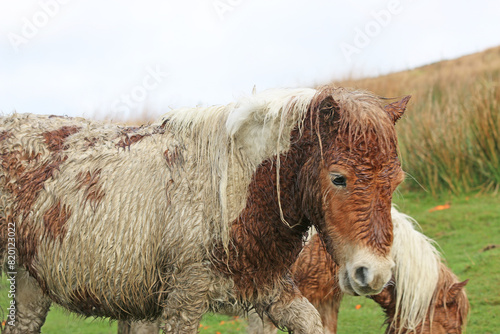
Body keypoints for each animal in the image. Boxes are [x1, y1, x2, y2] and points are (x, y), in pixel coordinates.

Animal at [0, 87, 408, 334]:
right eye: (339, 178)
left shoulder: (272, 289)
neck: (232, 191)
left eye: (396, 182)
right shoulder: (185, 300)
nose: (373, 273)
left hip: (32, 287)